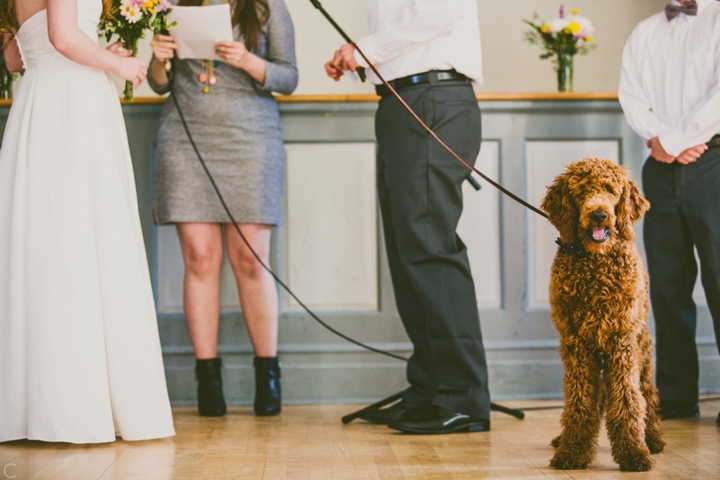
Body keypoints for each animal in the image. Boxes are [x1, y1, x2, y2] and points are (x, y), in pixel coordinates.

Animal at [540, 158, 664, 472]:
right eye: (581, 191)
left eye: (611, 190)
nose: (599, 215)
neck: (595, 262)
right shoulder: (576, 344)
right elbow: (580, 401)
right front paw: (573, 450)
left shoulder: (621, 342)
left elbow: (627, 400)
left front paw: (633, 453)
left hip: (642, 347)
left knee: (646, 393)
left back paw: (652, 437)